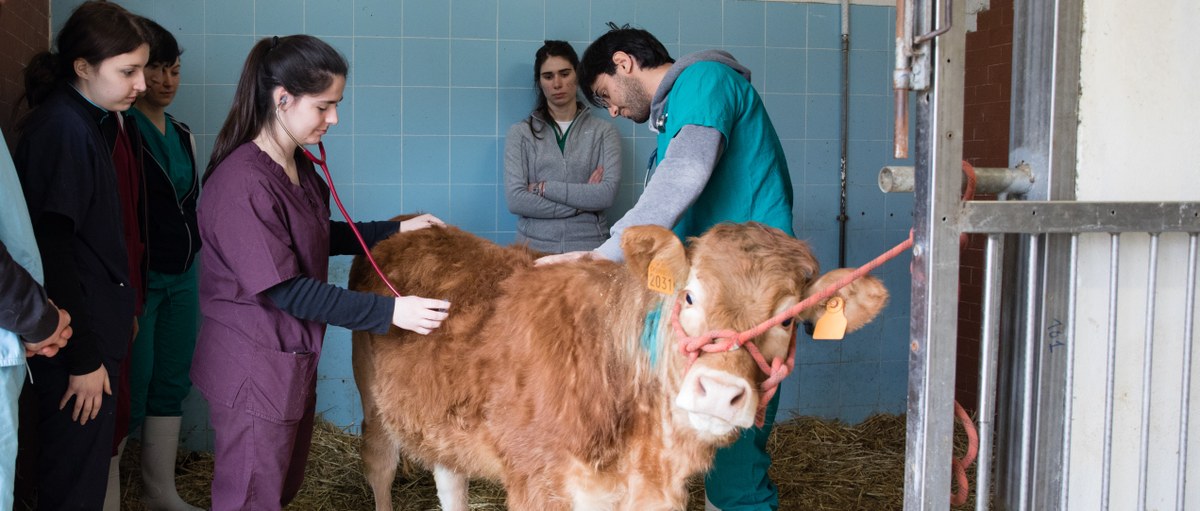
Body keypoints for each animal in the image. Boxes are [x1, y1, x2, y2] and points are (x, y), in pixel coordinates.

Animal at [349, 221, 888, 511]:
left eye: (789, 319)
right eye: (688, 296)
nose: (719, 391)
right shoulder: (538, 484)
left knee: (450, 477)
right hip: (372, 401)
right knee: (380, 464)